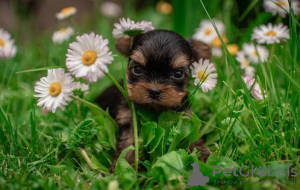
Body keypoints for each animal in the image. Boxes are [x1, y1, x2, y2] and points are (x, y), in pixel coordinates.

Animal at [95, 29, 211, 171]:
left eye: (178, 74)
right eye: (137, 69)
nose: (154, 92)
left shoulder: (185, 115)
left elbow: (190, 133)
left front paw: (200, 153)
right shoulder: (127, 116)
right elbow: (128, 141)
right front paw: (125, 163)